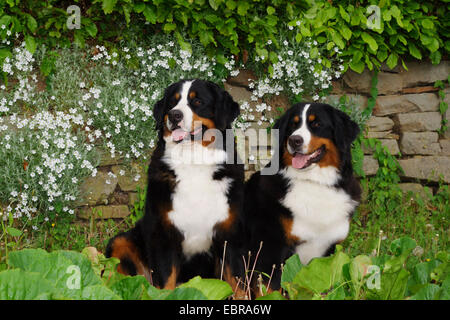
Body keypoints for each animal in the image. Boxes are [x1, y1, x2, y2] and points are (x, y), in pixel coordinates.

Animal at [106, 79, 244, 290]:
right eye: (172, 102)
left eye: (198, 102)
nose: (174, 115)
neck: (193, 162)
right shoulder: (164, 233)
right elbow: (165, 285)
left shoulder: (230, 234)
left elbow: (238, 285)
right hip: (120, 241)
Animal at [243, 102, 362, 292]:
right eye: (293, 125)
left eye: (317, 124)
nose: (294, 140)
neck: (314, 182)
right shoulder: (271, 248)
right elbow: (271, 289)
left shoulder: (328, 252)